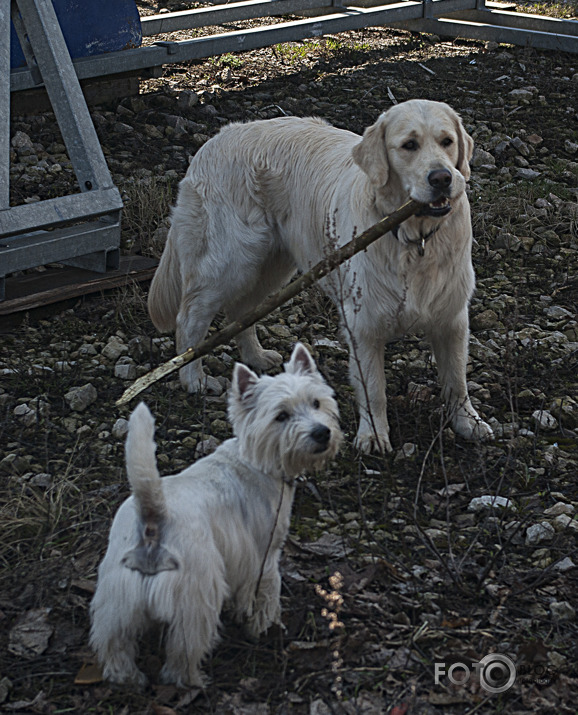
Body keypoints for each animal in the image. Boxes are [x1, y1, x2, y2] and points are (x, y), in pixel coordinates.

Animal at [89, 344, 340, 692]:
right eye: (281, 416)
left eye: (316, 402)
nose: (322, 433)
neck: (256, 461)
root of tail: (153, 514)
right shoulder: (263, 557)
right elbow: (265, 592)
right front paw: (263, 625)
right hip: (195, 595)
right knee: (183, 651)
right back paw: (193, 680)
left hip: (117, 598)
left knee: (115, 642)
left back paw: (128, 678)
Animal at [147, 99, 490, 454]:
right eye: (409, 145)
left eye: (447, 141)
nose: (442, 178)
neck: (415, 238)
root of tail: (212, 142)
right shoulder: (363, 325)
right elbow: (374, 389)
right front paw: (373, 435)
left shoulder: (451, 318)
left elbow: (457, 380)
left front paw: (468, 422)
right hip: (230, 261)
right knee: (190, 317)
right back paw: (194, 378)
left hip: (272, 265)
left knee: (241, 311)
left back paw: (257, 357)